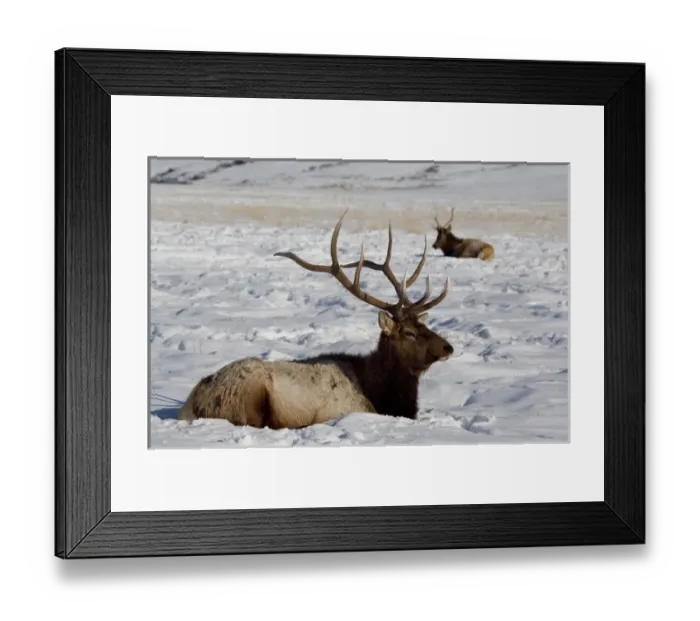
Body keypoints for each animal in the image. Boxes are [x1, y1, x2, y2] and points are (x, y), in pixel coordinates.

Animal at [177, 210, 454, 430]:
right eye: (409, 332)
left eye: (424, 324)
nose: (448, 347)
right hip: (249, 394)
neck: (381, 393)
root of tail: (192, 403)